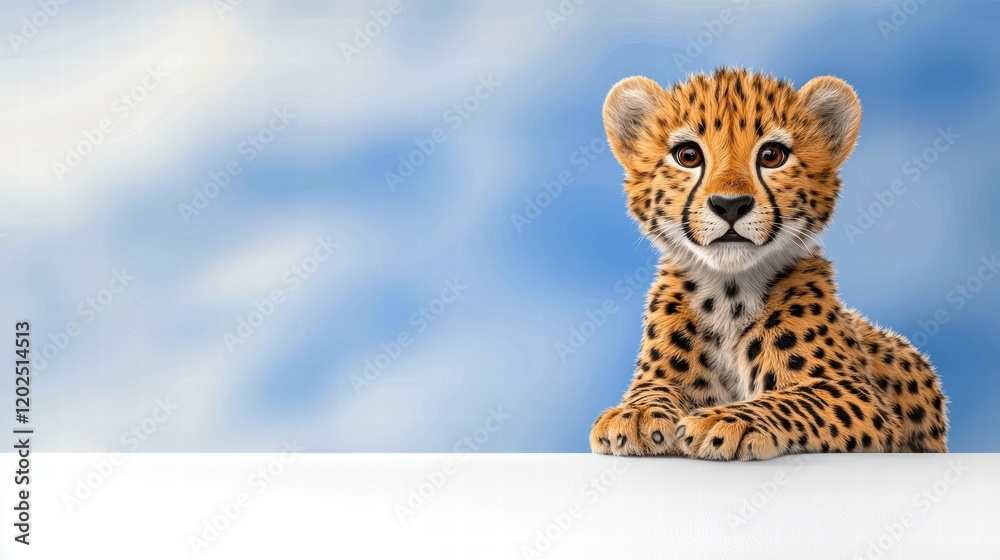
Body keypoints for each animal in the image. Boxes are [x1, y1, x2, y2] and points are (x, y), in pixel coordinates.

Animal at [589, 67, 948, 460]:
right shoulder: (661, 376)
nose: (730, 205)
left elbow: (794, 401)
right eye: (688, 155)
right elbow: (654, 387)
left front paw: (726, 420)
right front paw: (636, 413)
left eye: (772, 155)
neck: (729, 293)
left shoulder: (860, 398)